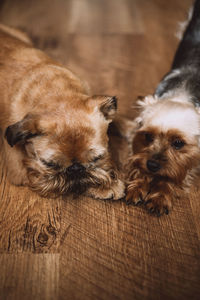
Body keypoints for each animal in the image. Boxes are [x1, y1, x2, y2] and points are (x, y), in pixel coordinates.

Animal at [0, 24, 125, 200]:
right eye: (50, 164)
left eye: (97, 158)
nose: (75, 169)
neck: (55, 91)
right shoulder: (20, 170)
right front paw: (107, 187)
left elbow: (119, 120)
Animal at [126, 0, 200, 216]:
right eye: (148, 136)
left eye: (178, 143)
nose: (152, 164)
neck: (182, 92)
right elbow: (137, 161)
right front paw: (138, 186)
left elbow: (177, 174)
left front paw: (160, 196)